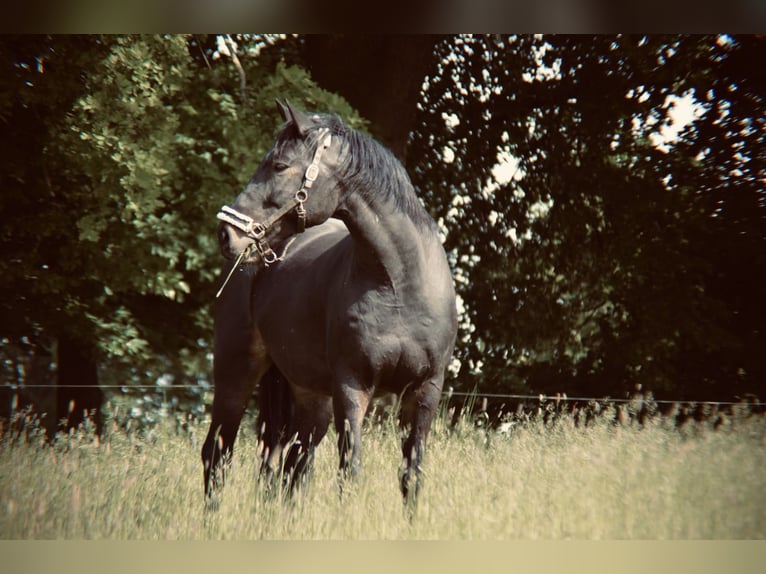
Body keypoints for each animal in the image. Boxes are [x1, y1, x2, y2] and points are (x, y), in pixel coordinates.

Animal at [201, 101, 460, 506]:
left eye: (279, 165)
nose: (227, 233)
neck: (401, 284)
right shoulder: (352, 387)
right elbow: (350, 471)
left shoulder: (425, 390)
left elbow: (411, 474)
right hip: (235, 373)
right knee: (219, 452)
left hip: (309, 397)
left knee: (289, 464)